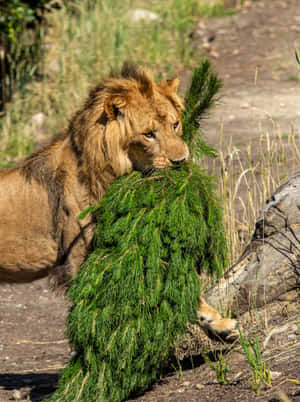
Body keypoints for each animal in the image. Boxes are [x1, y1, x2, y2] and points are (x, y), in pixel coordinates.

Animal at [0, 62, 237, 342]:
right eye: (148, 134)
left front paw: (219, 322)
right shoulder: (80, 259)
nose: (181, 161)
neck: (110, 174)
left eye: (175, 125)